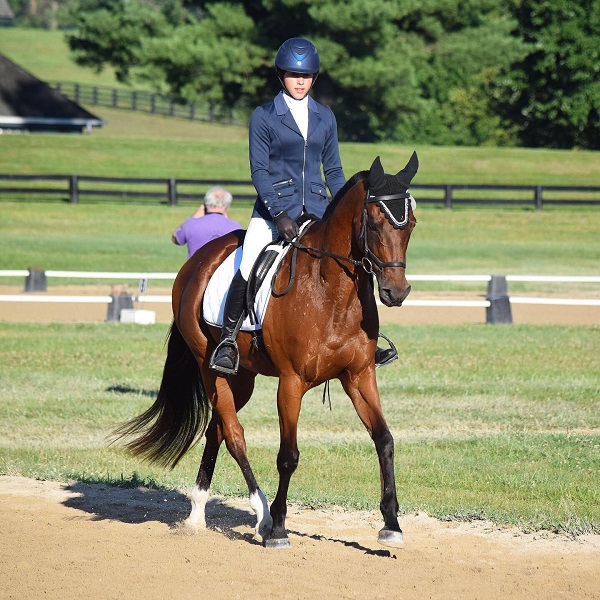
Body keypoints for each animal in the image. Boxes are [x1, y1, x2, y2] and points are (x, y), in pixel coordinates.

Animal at [115, 154, 420, 548]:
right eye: (376, 222)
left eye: (410, 224)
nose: (397, 292)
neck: (331, 291)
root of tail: (197, 261)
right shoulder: (291, 382)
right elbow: (288, 455)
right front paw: (277, 529)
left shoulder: (358, 376)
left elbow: (384, 439)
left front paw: (391, 523)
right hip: (209, 367)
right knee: (234, 434)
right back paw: (259, 513)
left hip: (241, 377)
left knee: (217, 429)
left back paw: (197, 512)